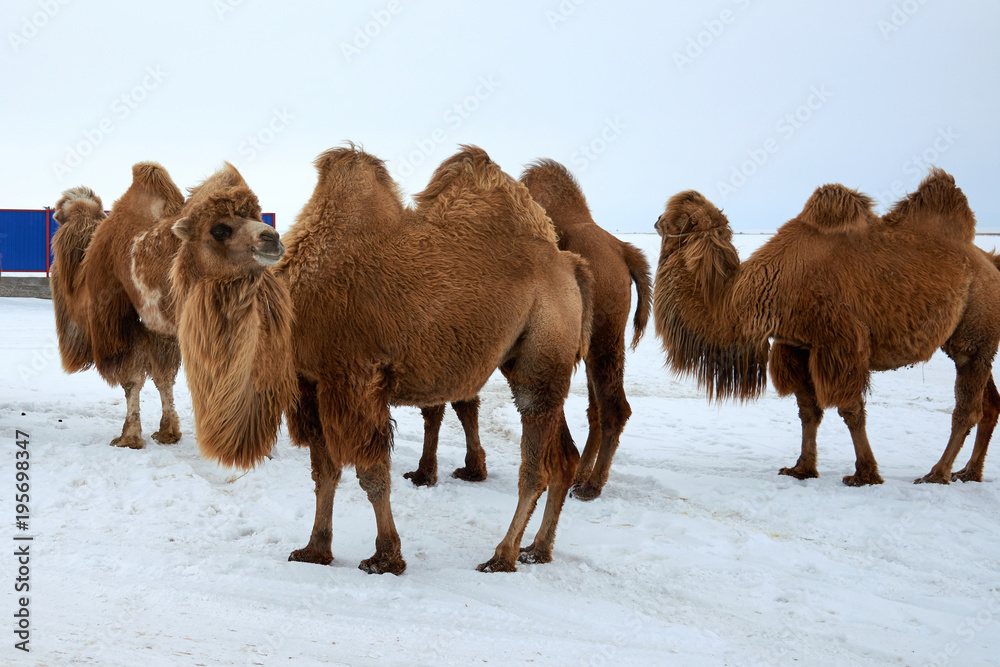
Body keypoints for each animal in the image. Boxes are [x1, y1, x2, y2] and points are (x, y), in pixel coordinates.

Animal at [50, 161, 269, 451]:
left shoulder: (117, 324)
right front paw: (168, 432)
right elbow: (164, 378)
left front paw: (128, 438)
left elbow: (132, 379)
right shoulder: (162, 331)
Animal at [169, 145, 592, 575]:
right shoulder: (312, 388)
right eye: (219, 228)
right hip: (532, 360)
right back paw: (538, 549)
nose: (270, 238)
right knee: (563, 456)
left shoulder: (355, 381)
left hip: (542, 350)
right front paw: (315, 549)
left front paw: (385, 557)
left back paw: (502, 555)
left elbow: (371, 475)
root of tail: (571, 264)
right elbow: (324, 474)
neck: (296, 311)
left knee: (535, 464)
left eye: (256, 215)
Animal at [405, 159, 652, 501]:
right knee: (595, 408)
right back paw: (579, 476)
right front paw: (471, 469)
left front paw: (426, 474)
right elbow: (462, 402)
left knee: (613, 407)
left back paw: (590, 487)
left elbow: (439, 406)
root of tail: (622, 251)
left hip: (603, 335)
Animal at [652, 169, 1000, 486]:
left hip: (976, 330)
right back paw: (968, 472)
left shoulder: (840, 341)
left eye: (675, 219)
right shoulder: (797, 346)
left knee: (967, 407)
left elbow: (850, 410)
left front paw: (864, 474)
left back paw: (937, 473)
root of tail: (989, 263)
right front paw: (801, 468)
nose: (655, 220)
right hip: (971, 340)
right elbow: (809, 410)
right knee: (989, 403)